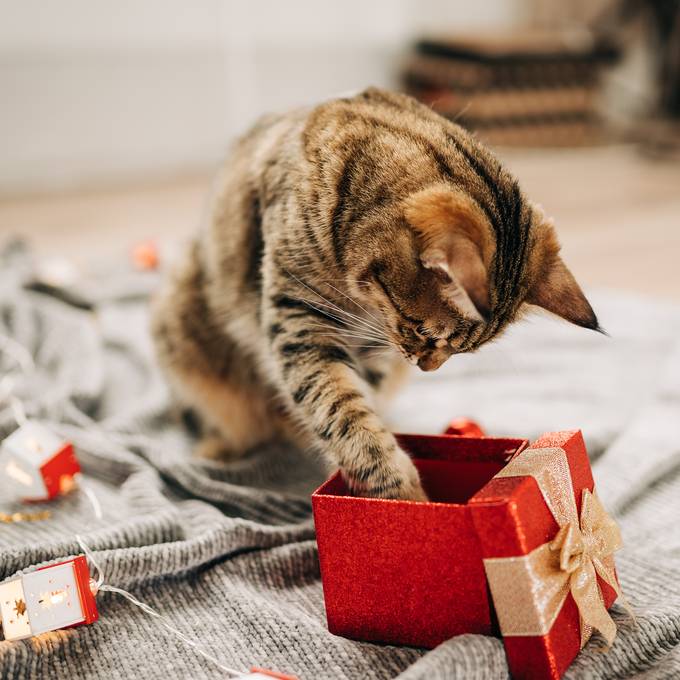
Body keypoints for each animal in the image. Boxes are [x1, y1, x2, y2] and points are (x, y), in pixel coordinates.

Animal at [151, 86, 596, 500]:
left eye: (460, 352)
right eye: (423, 332)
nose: (426, 368)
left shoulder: (373, 349)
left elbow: (361, 400)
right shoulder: (300, 319)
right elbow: (342, 413)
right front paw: (400, 493)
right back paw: (220, 449)